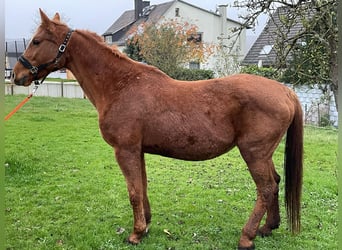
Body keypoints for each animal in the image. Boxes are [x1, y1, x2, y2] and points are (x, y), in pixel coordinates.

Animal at [12, 9, 304, 248]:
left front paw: (135, 233)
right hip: (264, 154)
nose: (17, 75)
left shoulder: (125, 150)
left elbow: (133, 192)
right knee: (275, 183)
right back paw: (268, 227)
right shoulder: (137, 150)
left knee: (265, 188)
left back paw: (247, 237)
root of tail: (286, 91)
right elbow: (142, 187)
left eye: (37, 41)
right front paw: (146, 225)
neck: (121, 85)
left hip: (254, 153)